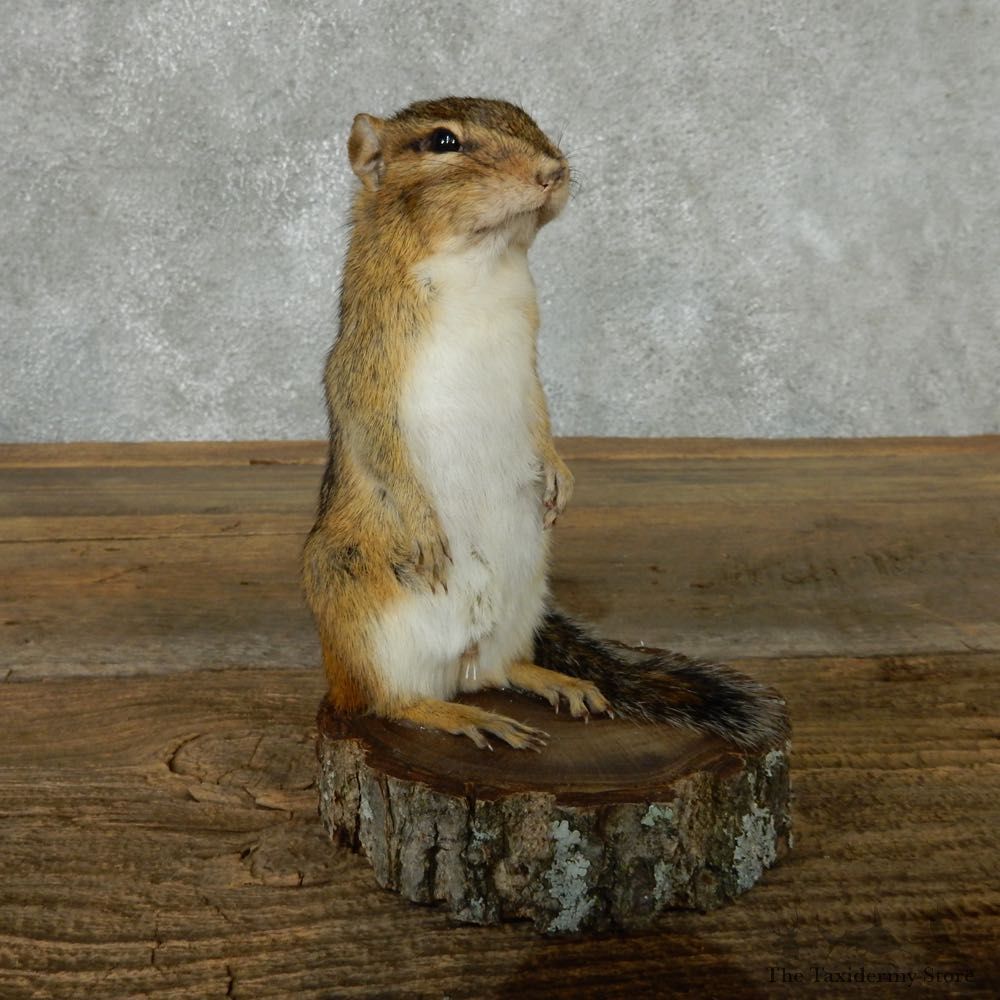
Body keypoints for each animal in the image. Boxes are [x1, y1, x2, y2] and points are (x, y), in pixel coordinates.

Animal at [303, 96, 787, 752]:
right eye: (443, 141)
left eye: (528, 118)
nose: (553, 172)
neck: (480, 262)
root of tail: (457, 664)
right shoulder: (363, 362)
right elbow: (375, 436)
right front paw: (424, 525)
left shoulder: (528, 357)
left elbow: (539, 411)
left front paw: (560, 472)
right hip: (365, 625)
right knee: (389, 702)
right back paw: (458, 715)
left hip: (522, 598)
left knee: (497, 670)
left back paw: (554, 681)